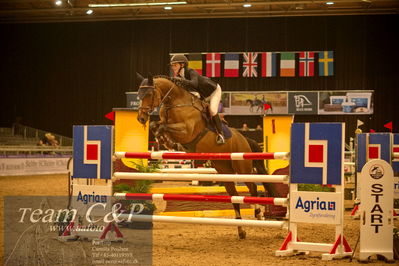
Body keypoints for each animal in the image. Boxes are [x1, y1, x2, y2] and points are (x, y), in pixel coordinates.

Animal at [136, 74, 280, 239]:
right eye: (139, 95)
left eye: (149, 94)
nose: (141, 118)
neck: (175, 103)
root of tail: (244, 138)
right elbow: (156, 125)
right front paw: (166, 141)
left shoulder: (186, 131)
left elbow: (163, 126)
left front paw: (166, 140)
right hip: (225, 172)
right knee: (235, 197)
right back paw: (241, 230)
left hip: (242, 167)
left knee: (253, 187)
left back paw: (258, 213)